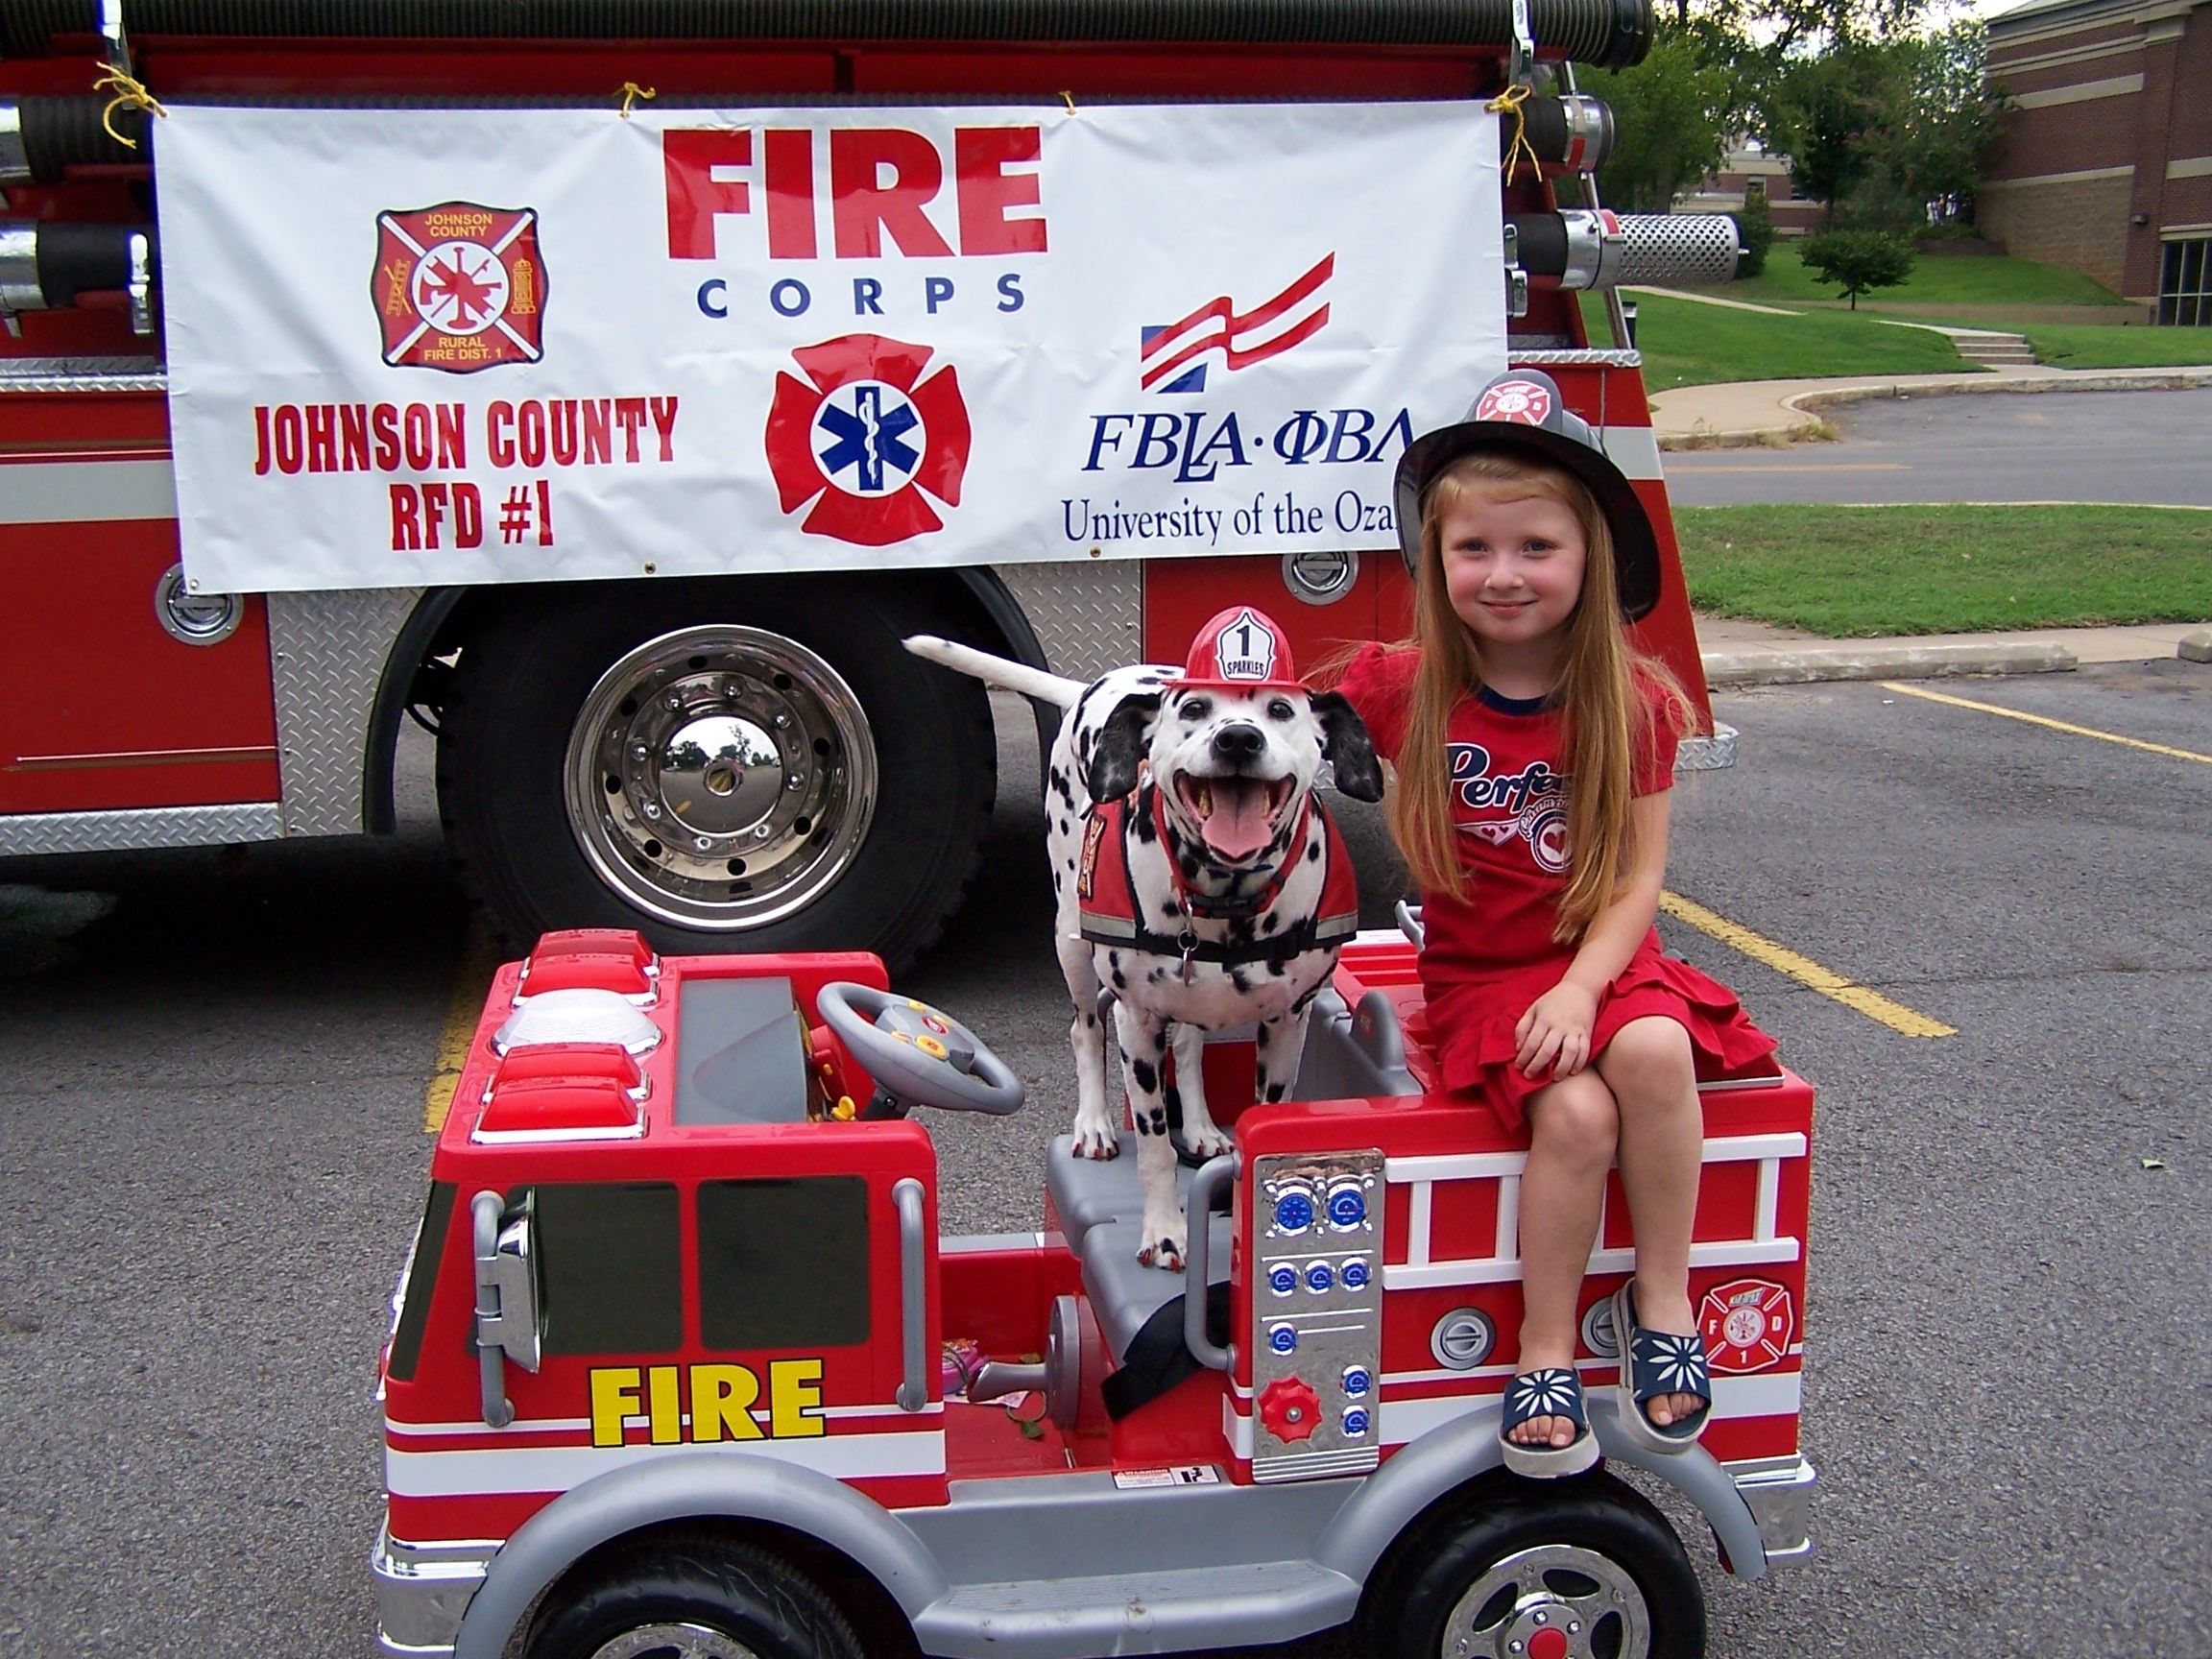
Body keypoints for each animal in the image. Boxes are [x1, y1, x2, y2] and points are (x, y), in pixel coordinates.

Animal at [906, 610, 1371, 1274]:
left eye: (1281, 710)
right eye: (1195, 708)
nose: (1238, 740)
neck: (1226, 896)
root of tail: (1092, 686)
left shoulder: (1287, 1024)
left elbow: (1260, 1118)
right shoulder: (1137, 1025)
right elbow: (1154, 1146)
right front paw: (1166, 1232)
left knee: (1190, 1048)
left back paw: (1199, 1125)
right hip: (1071, 941)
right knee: (1084, 1029)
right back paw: (1095, 1126)